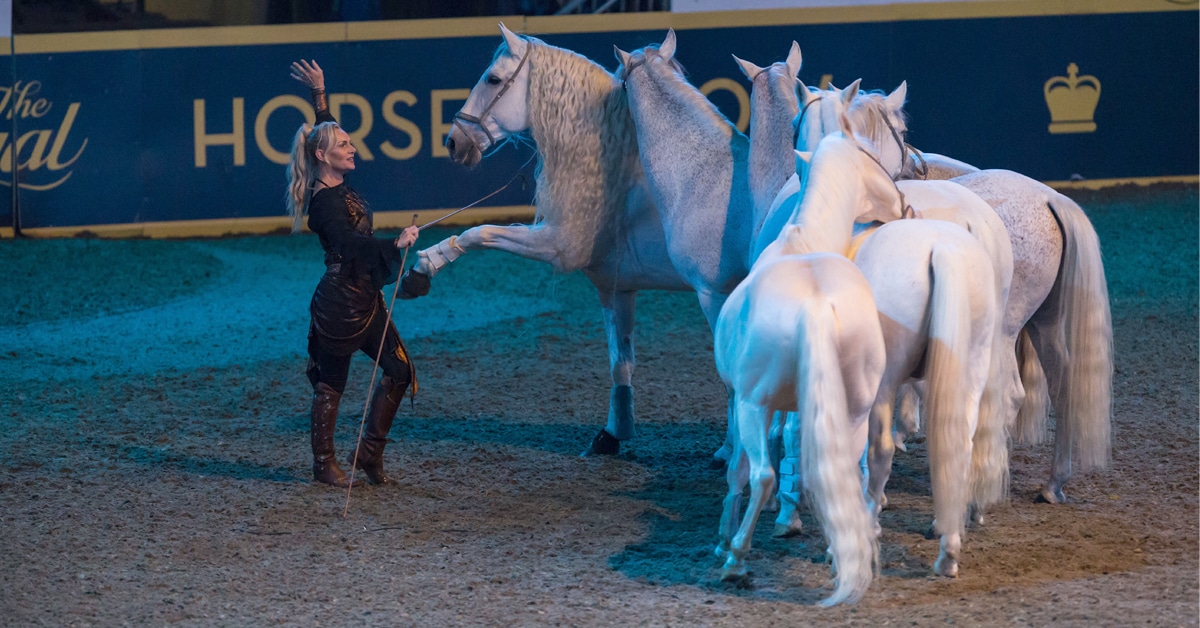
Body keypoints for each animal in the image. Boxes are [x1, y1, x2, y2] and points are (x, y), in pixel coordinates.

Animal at [424, 23, 690, 457]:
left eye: (493, 79)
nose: (453, 141)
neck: (618, 168)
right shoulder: (616, 287)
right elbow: (621, 361)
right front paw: (612, 434)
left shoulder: (559, 245)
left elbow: (481, 232)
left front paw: (428, 261)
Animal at [712, 128, 905, 605]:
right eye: (875, 157)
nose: (903, 203)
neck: (803, 245)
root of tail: (816, 303)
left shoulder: (744, 400)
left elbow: (737, 471)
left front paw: (723, 540)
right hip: (854, 411)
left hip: (754, 405)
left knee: (761, 474)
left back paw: (736, 561)